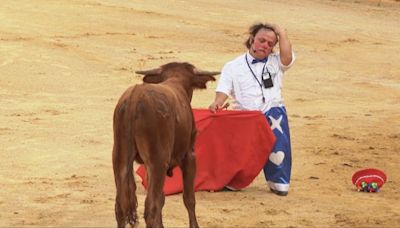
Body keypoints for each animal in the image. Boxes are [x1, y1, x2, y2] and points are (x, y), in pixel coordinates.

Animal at [112, 62, 219, 228]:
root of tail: (134, 98)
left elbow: (161, 198)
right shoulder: (189, 155)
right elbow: (188, 197)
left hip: (120, 160)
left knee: (121, 206)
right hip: (157, 162)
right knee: (150, 207)